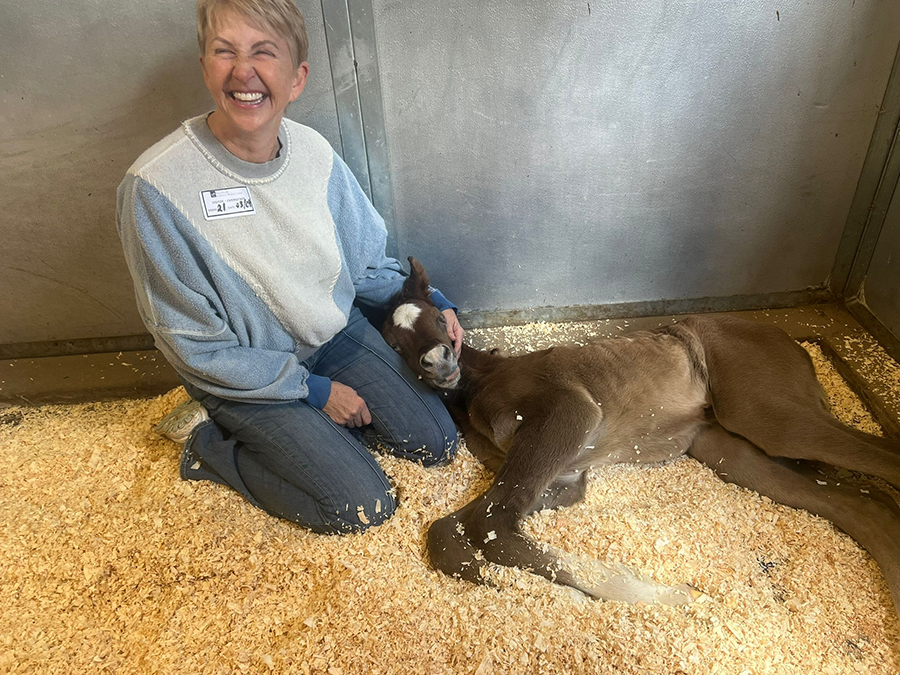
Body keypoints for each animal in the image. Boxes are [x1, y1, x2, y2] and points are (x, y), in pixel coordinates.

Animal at [382, 258, 900, 612]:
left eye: (437, 318)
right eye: (392, 342)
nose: (439, 363)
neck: (482, 383)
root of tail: (794, 344)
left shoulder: (568, 413)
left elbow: (490, 524)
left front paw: (667, 594)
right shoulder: (563, 477)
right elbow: (453, 528)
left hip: (766, 413)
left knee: (876, 457)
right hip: (731, 449)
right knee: (862, 505)